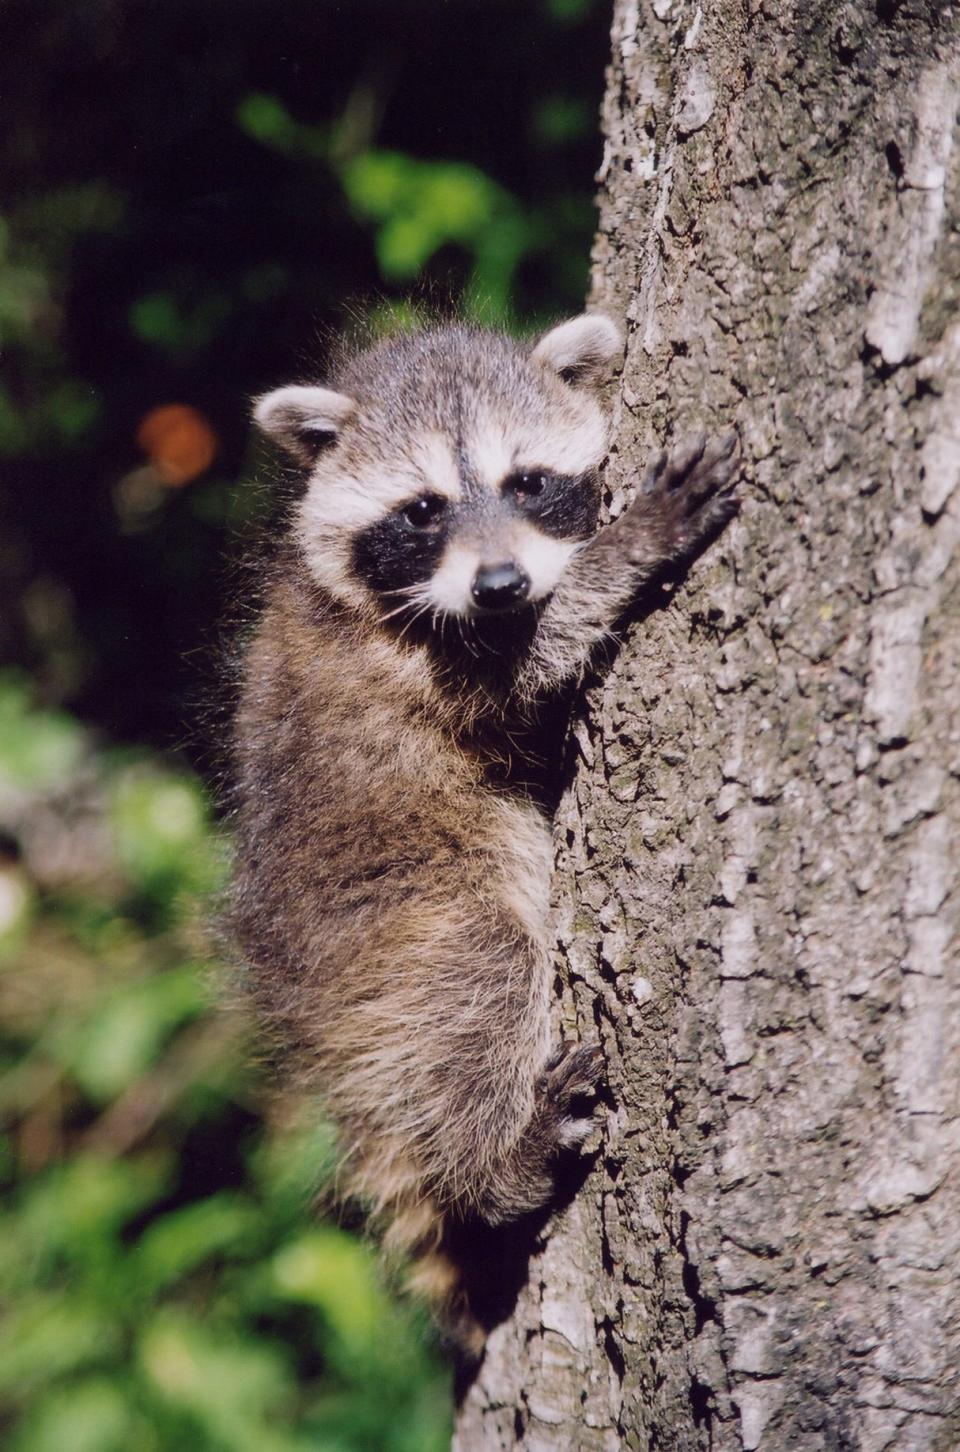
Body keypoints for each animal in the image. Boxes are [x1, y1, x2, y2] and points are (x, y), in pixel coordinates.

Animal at [228, 315, 737, 1347]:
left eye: (526, 482)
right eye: (422, 511)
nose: (500, 583)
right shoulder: (420, 663)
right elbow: (543, 647)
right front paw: (629, 547)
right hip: (381, 931)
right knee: (480, 969)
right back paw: (494, 1163)